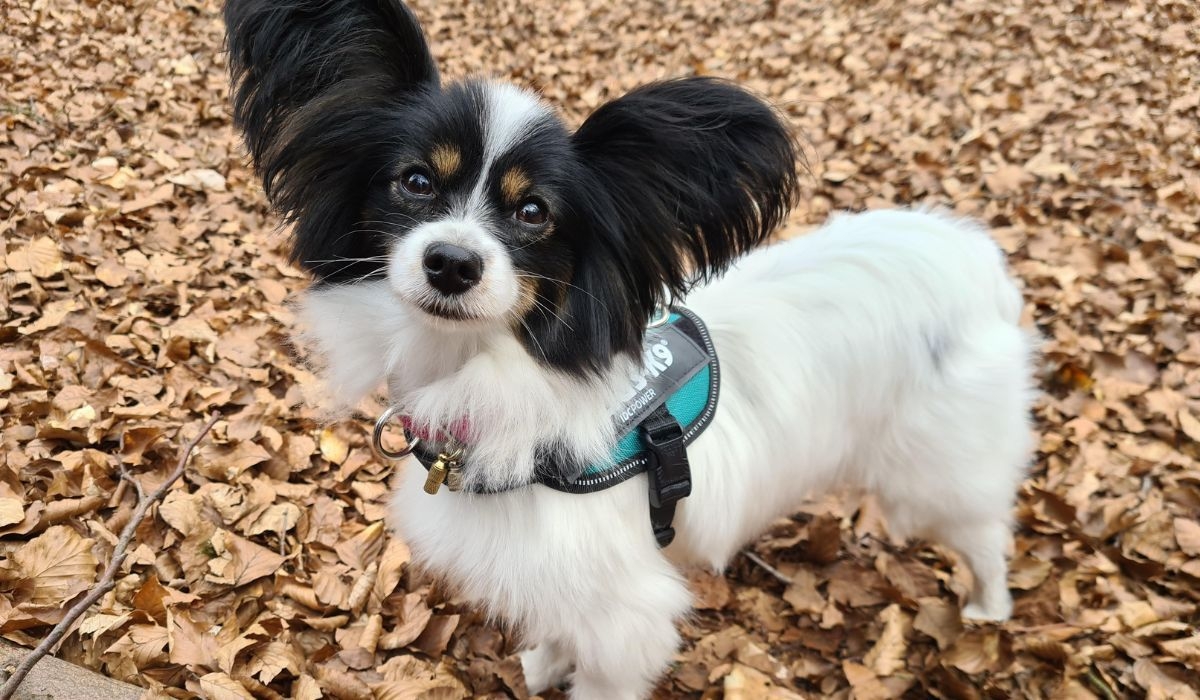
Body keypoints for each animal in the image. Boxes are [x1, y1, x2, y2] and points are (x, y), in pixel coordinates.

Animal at [226, 2, 1041, 696]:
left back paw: (988, 611)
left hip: (944, 468)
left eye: (534, 213)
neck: (494, 371)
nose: (451, 264)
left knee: (985, 533)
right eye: (416, 181)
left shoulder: (627, 619)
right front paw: (545, 661)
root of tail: (974, 255)